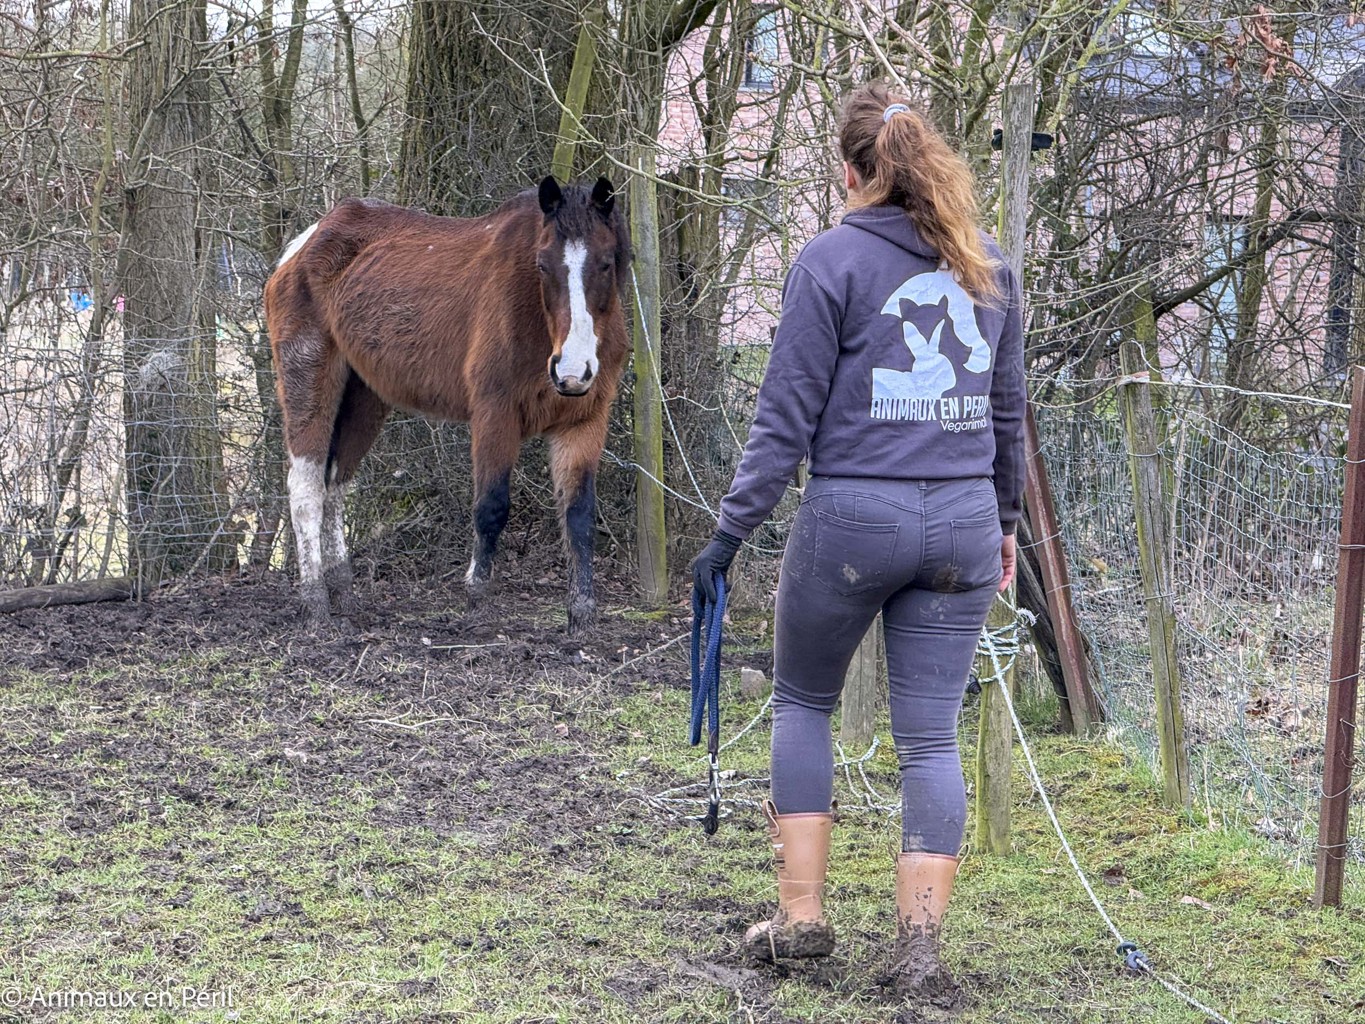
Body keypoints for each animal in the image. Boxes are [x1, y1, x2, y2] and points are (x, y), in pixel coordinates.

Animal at [263, 177, 631, 633]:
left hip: (364, 399)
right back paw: (316, 605)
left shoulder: (584, 423)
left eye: (605, 263)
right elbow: (491, 507)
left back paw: (343, 593)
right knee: (307, 487)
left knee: (335, 485)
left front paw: (581, 613)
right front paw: (476, 602)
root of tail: (303, 245)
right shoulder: (495, 414)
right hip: (309, 381)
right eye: (542, 265)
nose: (572, 370)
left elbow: (579, 514)